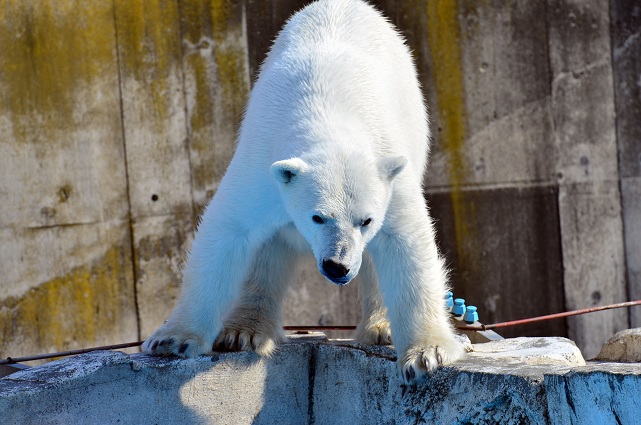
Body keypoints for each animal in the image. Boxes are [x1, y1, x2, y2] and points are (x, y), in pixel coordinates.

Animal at [144, 0, 464, 380]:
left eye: (366, 220)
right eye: (318, 217)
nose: (337, 266)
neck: (329, 116)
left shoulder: (388, 167)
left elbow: (404, 240)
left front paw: (428, 353)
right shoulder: (262, 165)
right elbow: (227, 232)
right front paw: (173, 340)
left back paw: (381, 327)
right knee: (268, 248)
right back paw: (243, 331)